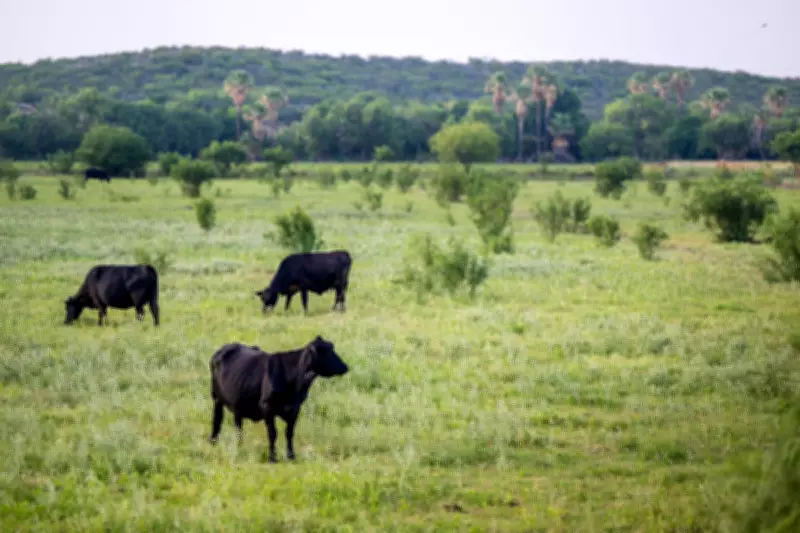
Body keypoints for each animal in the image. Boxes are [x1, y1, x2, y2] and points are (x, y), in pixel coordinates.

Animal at [207, 335, 349, 462]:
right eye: (327, 353)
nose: (345, 367)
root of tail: (225, 348)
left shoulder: (295, 409)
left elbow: (289, 433)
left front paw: (291, 456)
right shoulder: (267, 407)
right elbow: (272, 434)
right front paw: (272, 458)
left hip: (238, 404)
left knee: (238, 425)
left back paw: (240, 445)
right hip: (216, 398)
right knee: (217, 420)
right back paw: (213, 442)